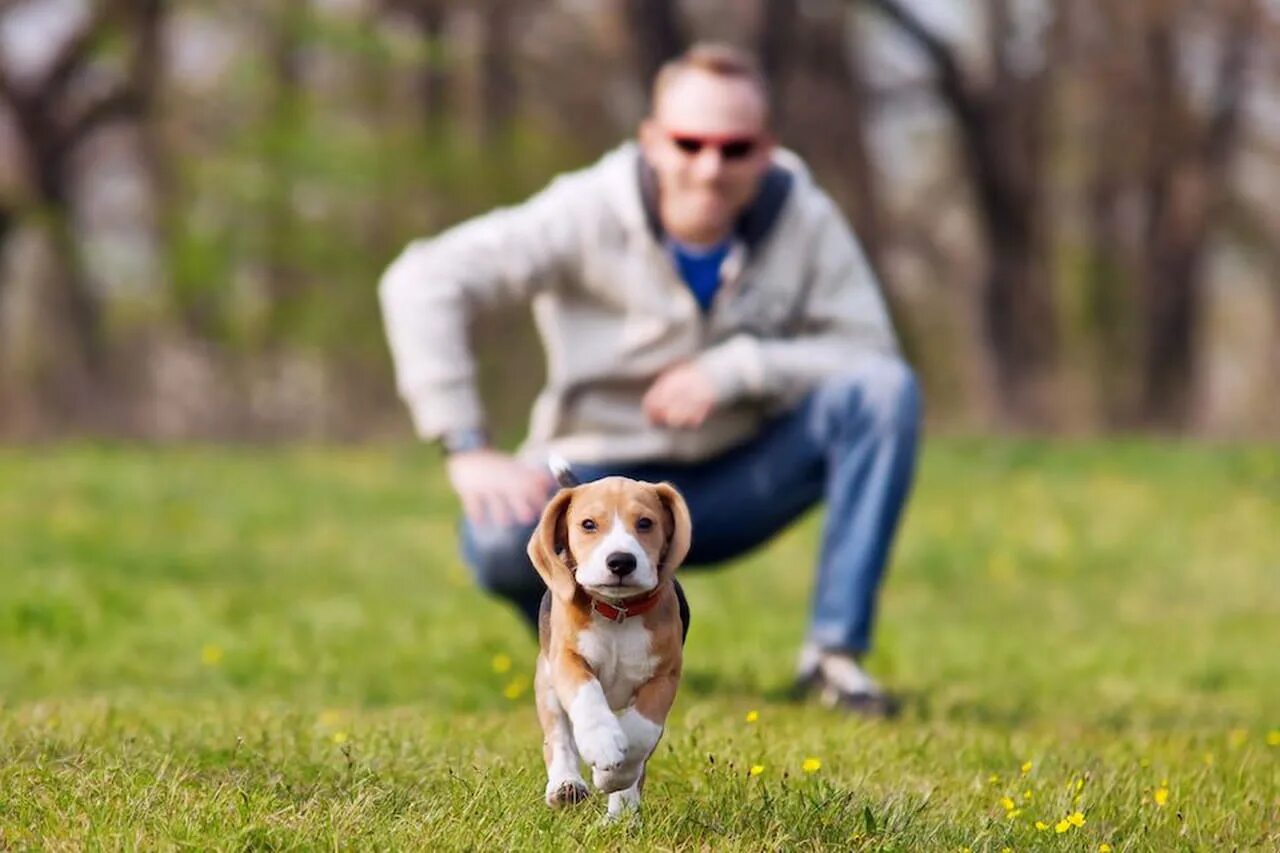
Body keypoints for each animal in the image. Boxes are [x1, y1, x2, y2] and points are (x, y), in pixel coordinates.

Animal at [527, 473, 696, 814]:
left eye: (645, 523)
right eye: (588, 524)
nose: (620, 561)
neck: (618, 611)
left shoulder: (664, 677)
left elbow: (642, 730)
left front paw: (613, 777)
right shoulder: (567, 658)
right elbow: (587, 694)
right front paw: (601, 742)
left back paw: (622, 813)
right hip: (547, 682)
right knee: (558, 738)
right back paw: (566, 785)